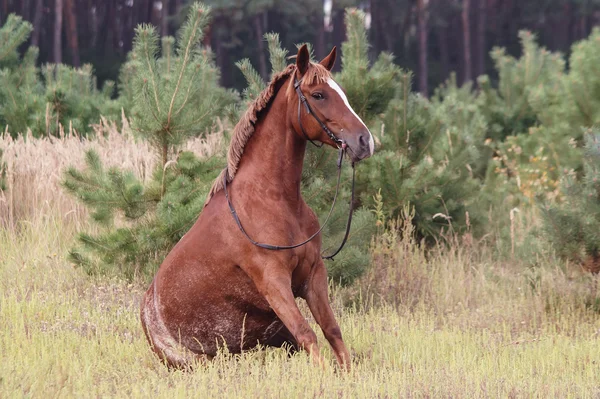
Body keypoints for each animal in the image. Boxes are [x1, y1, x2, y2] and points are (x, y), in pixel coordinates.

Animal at [142, 44, 376, 372]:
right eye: (318, 94)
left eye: (340, 90)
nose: (365, 141)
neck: (273, 200)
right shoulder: (274, 281)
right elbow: (307, 333)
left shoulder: (314, 275)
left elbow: (332, 330)